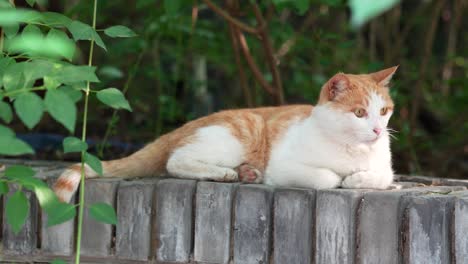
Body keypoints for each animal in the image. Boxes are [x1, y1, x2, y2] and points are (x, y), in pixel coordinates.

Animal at [54, 66, 398, 202]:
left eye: (384, 110)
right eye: (359, 113)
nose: (378, 130)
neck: (353, 149)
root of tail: (186, 125)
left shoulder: (384, 168)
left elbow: (381, 176)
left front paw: (361, 179)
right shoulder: (285, 167)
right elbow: (329, 178)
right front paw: (345, 178)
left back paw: (246, 173)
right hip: (236, 136)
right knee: (175, 161)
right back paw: (226, 174)